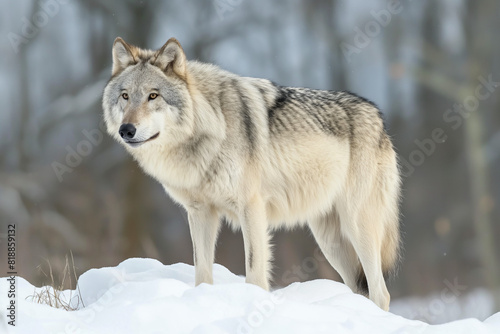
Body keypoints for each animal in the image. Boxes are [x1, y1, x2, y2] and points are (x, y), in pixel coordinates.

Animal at [102, 37, 402, 310]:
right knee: (361, 289)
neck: (210, 128)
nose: (126, 130)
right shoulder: (200, 212)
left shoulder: (251, 208)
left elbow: (255, 270)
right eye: (125, 96)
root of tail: (378, 116)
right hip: (330, 240)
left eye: (153, 95)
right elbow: (202, 270)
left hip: (357, 226)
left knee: (381, 292)